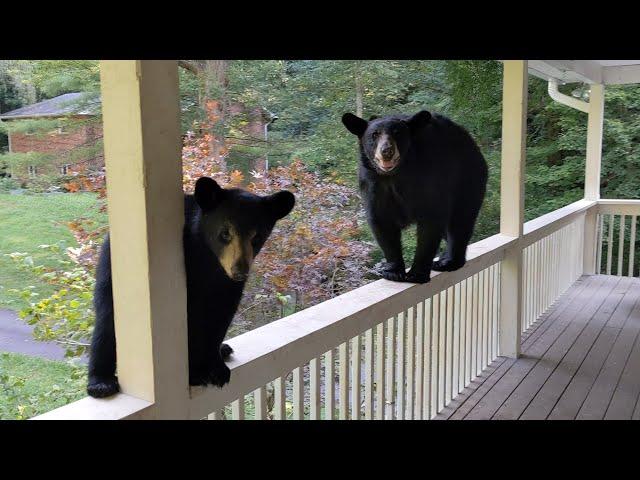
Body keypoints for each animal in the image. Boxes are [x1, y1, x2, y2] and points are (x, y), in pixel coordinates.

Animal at [86, 178, 296, 400]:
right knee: (106, 321)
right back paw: (101, 383)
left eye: (257, 237)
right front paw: (196, 373)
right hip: (110, 274)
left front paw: (217, 368)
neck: (211, 263)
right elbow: (192, 318)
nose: (239, 271)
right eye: (225, 233)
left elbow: (221, 316)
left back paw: (223, 349)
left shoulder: (228, 287)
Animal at [342, 110, 488, 284]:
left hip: (467, 178)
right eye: (374, 134)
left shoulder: (428, 176)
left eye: (397, 133)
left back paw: (449, 261)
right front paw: (393, 271)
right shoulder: (372, 183)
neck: (394, 175)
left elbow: (430, 221)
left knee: (460, 220)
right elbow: (381, 220)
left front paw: (416, 274)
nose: (387, 151)